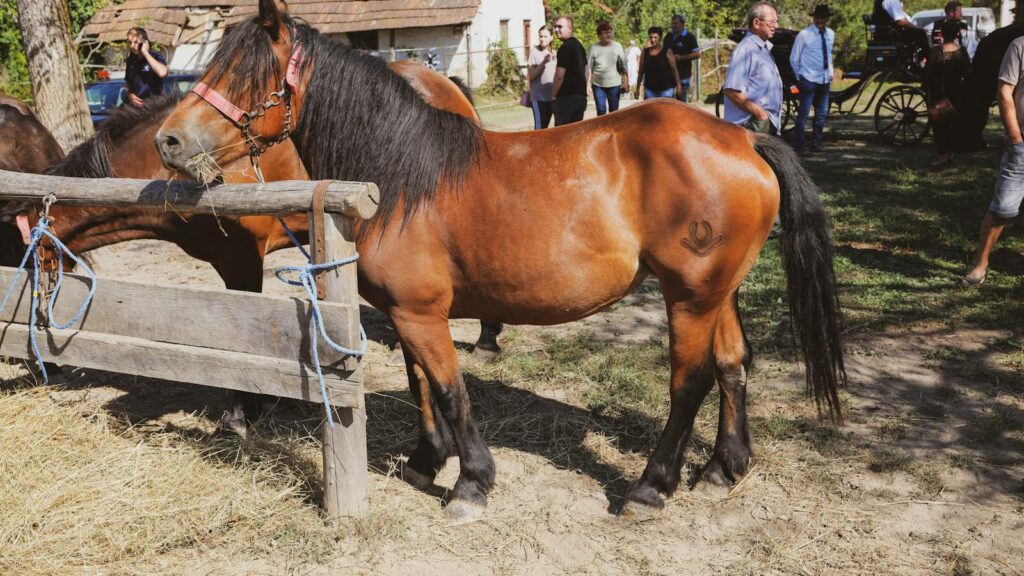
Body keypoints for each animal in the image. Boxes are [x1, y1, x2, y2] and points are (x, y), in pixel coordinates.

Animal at [154, 0, 846, 520]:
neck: (401, 176)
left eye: (247, 74)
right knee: (733, 365)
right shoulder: (408, 313)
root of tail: (744, 139)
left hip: (690, 296)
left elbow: (450, 389)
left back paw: (651, 487)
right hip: (715, 291)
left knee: (690, 381)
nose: (168, 140)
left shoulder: (421, 313)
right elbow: (422, 383)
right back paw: (724, 469)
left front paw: (470, 482)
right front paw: (426, 461)